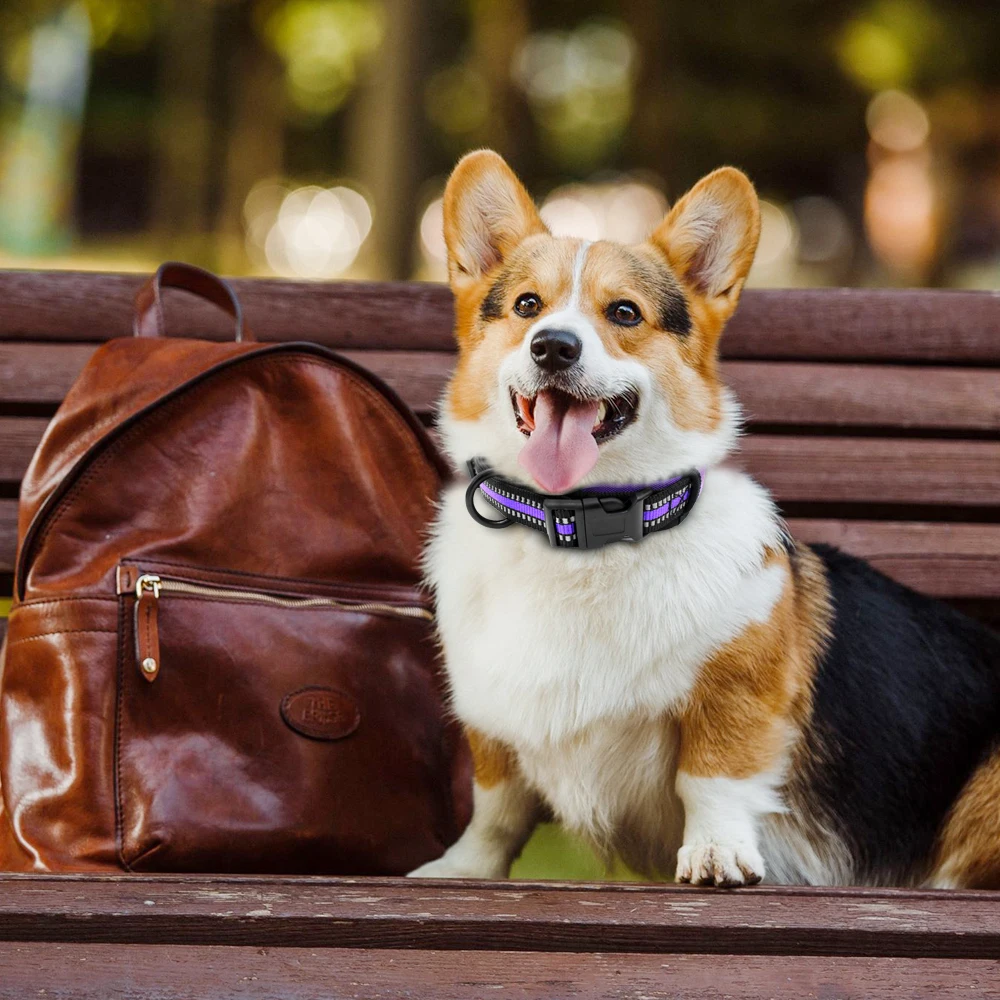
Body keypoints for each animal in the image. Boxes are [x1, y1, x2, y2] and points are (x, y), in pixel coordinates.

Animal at [406, 150, 1000, 892]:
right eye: (527, 307)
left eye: (624, 312)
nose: (553, 348)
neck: (576, 530)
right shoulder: (492, 717)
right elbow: (496, 804)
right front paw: (465, 868)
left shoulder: (737, 692)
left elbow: (712, 778)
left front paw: (716, 854)